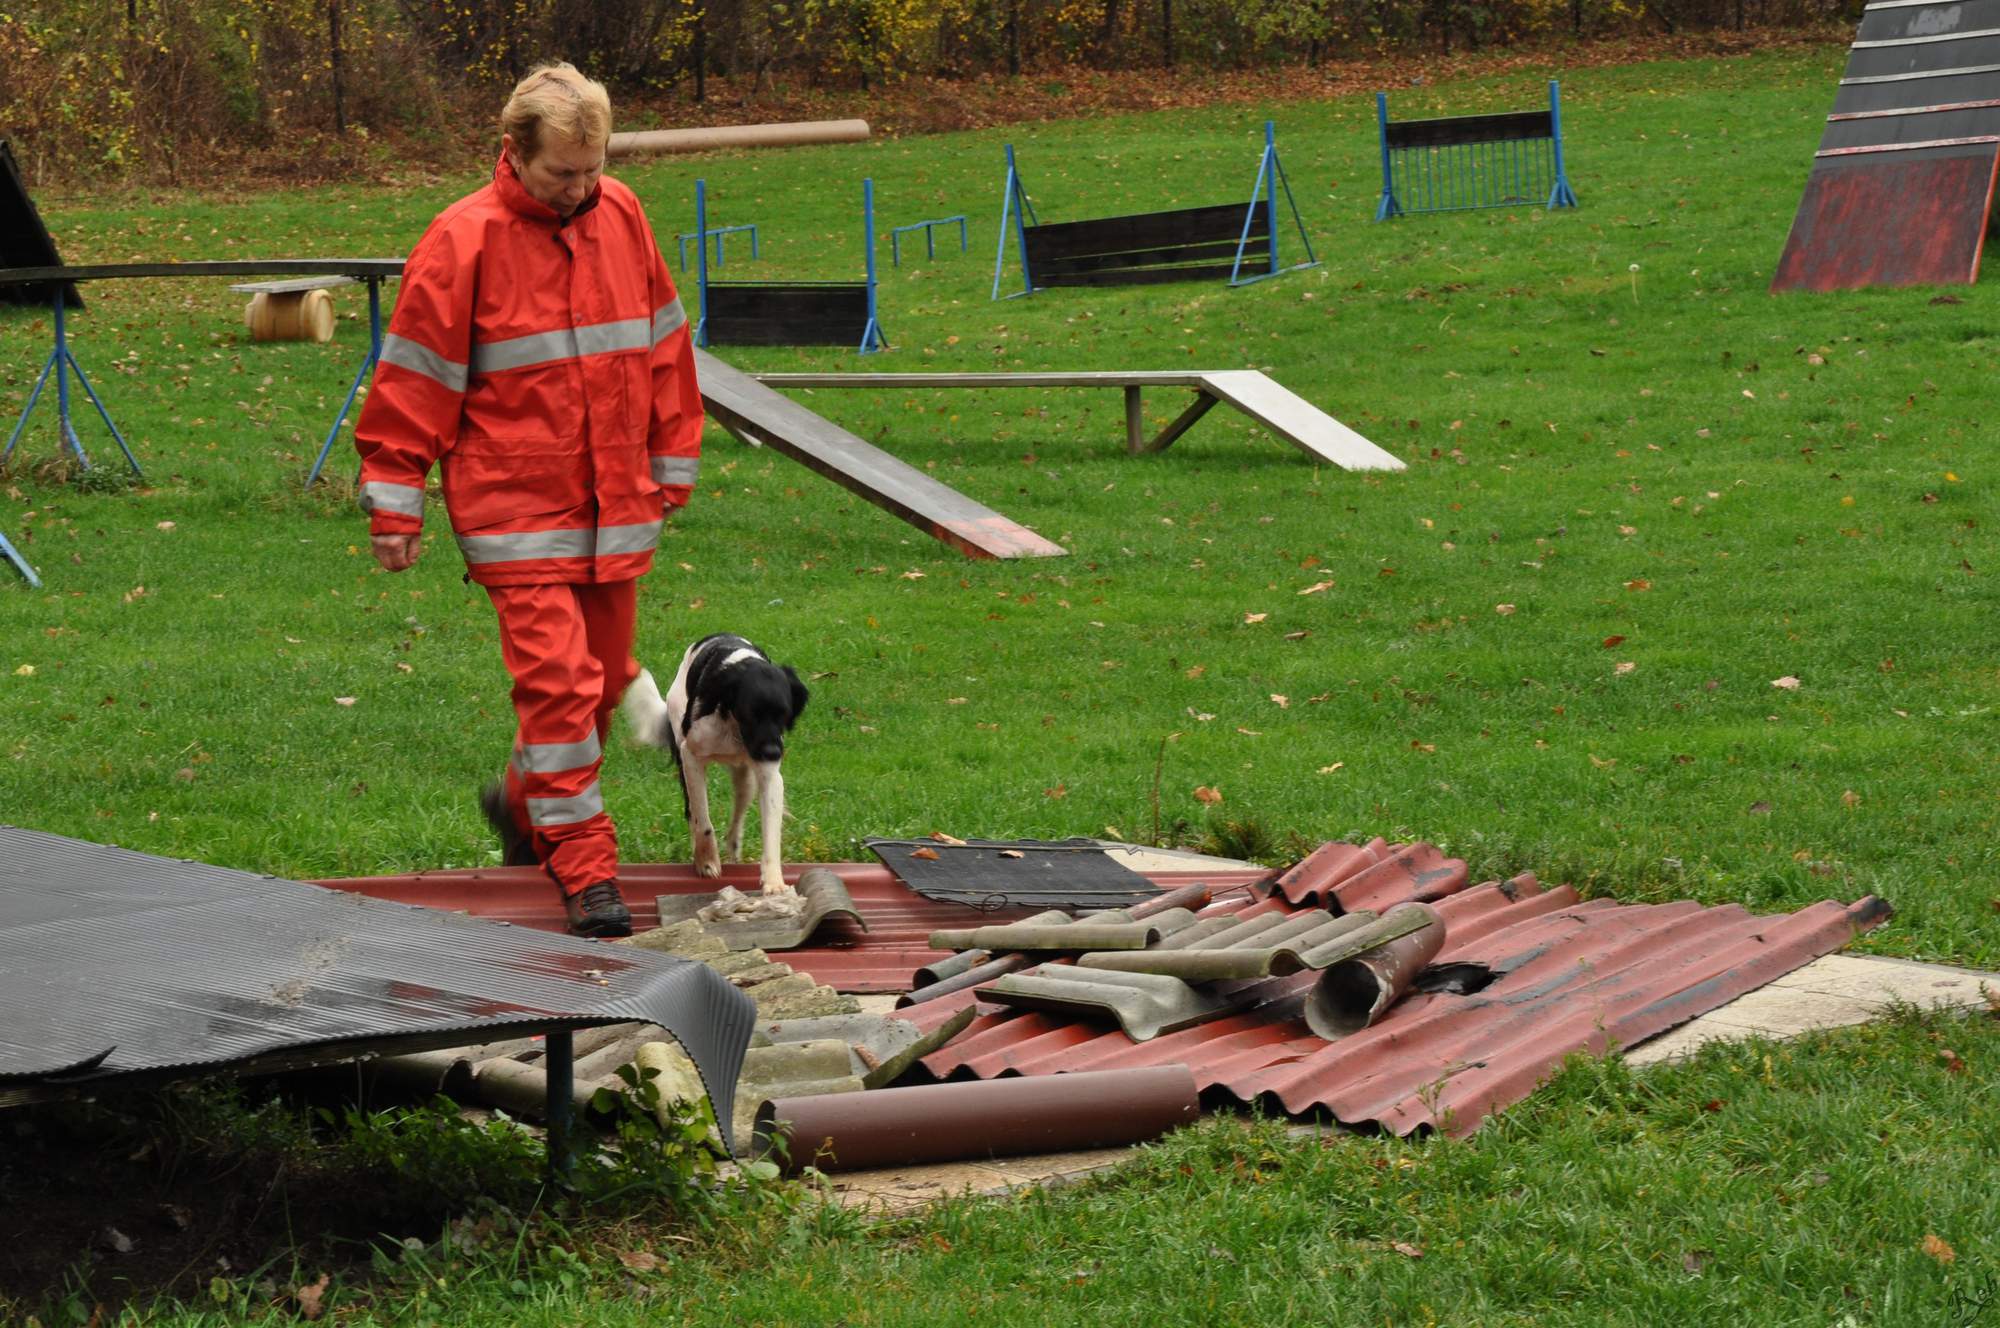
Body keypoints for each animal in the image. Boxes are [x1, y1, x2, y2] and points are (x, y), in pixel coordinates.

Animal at [624, 632, 812, 892]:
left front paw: (774, 882)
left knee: (737, 819)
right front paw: (706, 862)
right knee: (692, 812)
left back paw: (734, 850)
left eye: (784, 714)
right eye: (750, 713)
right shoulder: (691, 757)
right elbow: (702, 820)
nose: (774, 753)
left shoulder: (769, 775)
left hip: (745, 778)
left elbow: (771, 834)